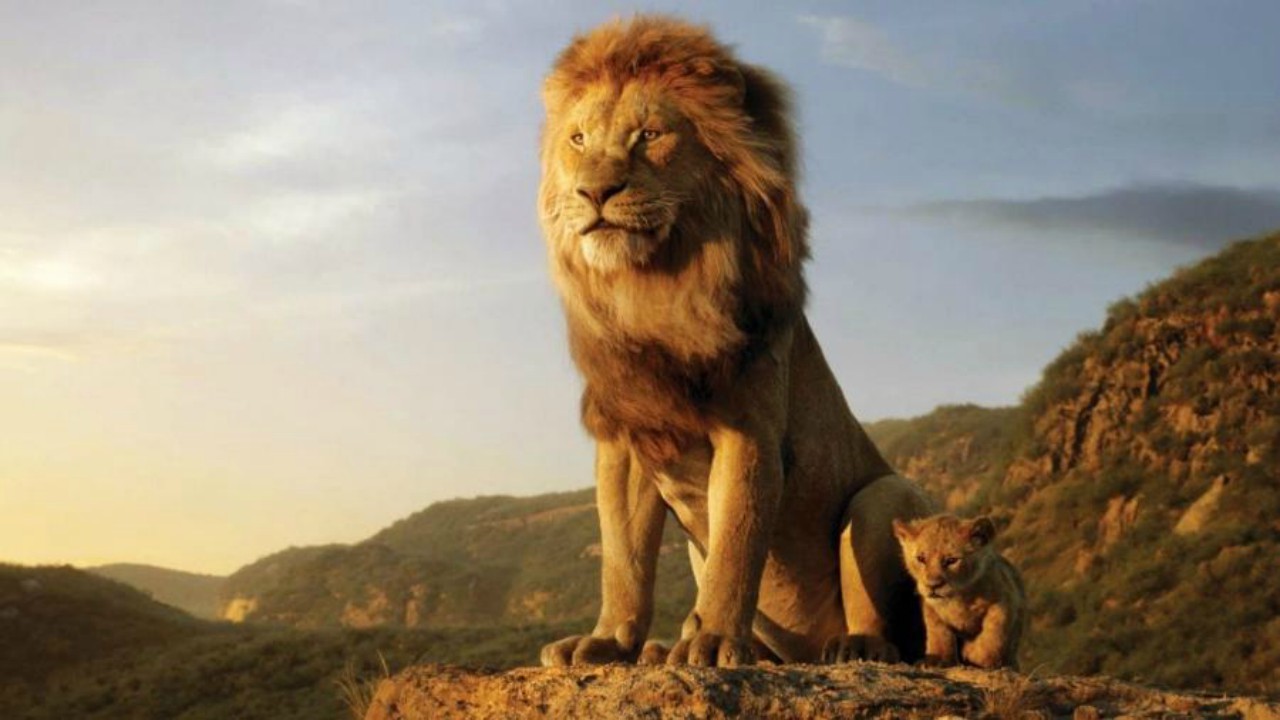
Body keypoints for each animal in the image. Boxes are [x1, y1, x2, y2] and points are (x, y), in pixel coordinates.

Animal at [536, 15, 937, 668]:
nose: (594, 192)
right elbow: (623, 559)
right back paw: (666, 648)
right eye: (578, 140)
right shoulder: (627, 438)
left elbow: (736, 545)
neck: (654, 289)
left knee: (889, 627)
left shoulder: (749, 430)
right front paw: (608, 641)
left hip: (883, 495)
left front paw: (715, 640)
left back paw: (853, 646)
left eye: (649, 135)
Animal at [892, 515, 1027, 669]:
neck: (957, 597)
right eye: (921, 558)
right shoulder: (931, 608)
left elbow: (994, 632)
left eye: (951, 560)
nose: (933, 585)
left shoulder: (1005, 599)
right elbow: (938, 632)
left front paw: (976, 655)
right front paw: (938, 659)